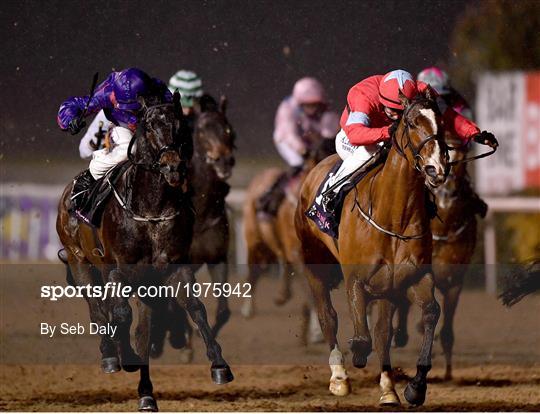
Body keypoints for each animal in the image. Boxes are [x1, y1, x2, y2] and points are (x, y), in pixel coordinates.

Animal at [57, 93, 234, 410]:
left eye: (180, 126)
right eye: (149, 127)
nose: (172, 166)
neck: (151, 210)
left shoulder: (181, 266)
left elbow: (196, 309)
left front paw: (218, 364)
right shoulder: (118, 271)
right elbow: (120, 314)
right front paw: (124, 355)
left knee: (141, 330)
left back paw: (147, 392)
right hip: (80, 262)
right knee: (97, 309)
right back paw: (111, 355)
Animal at [296, 89, 448, 406]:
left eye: (441, 121)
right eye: (412, 123)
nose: (437, 168)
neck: (394, 214)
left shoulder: (409, 277)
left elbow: (427, 313)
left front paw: (412, 388)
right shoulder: (356, 279)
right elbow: (361, 337)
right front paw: (355, 357)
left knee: (380, 333)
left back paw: (388, 388)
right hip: (314, 266)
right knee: (328, 317)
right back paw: (339, 378)